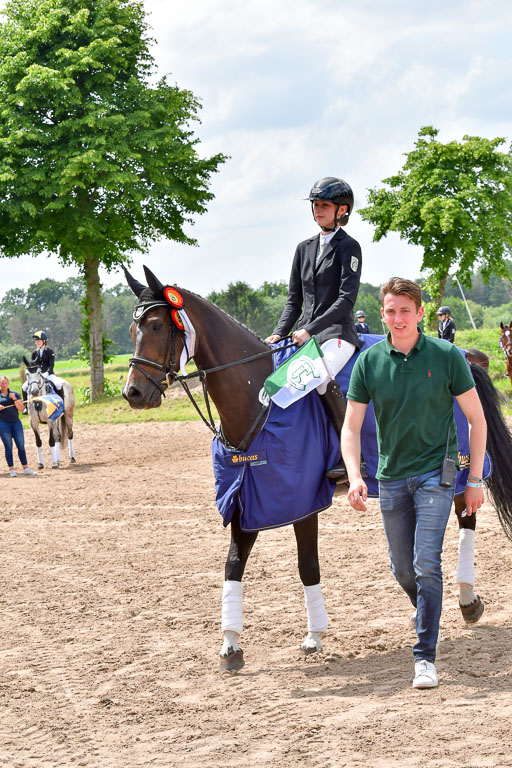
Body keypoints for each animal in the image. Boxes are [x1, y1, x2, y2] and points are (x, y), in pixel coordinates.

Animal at [123, 266, 512, 671]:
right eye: (132, 330)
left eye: (156, 326)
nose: (132, 394)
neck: (260, 399)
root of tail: (465, 358)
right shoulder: (248, 496)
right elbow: (232, 566)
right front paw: (230, 646)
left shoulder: (302, 498)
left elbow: (307, 564)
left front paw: (314, 635)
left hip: (460, 467)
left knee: (466, 520)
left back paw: (467, 599)